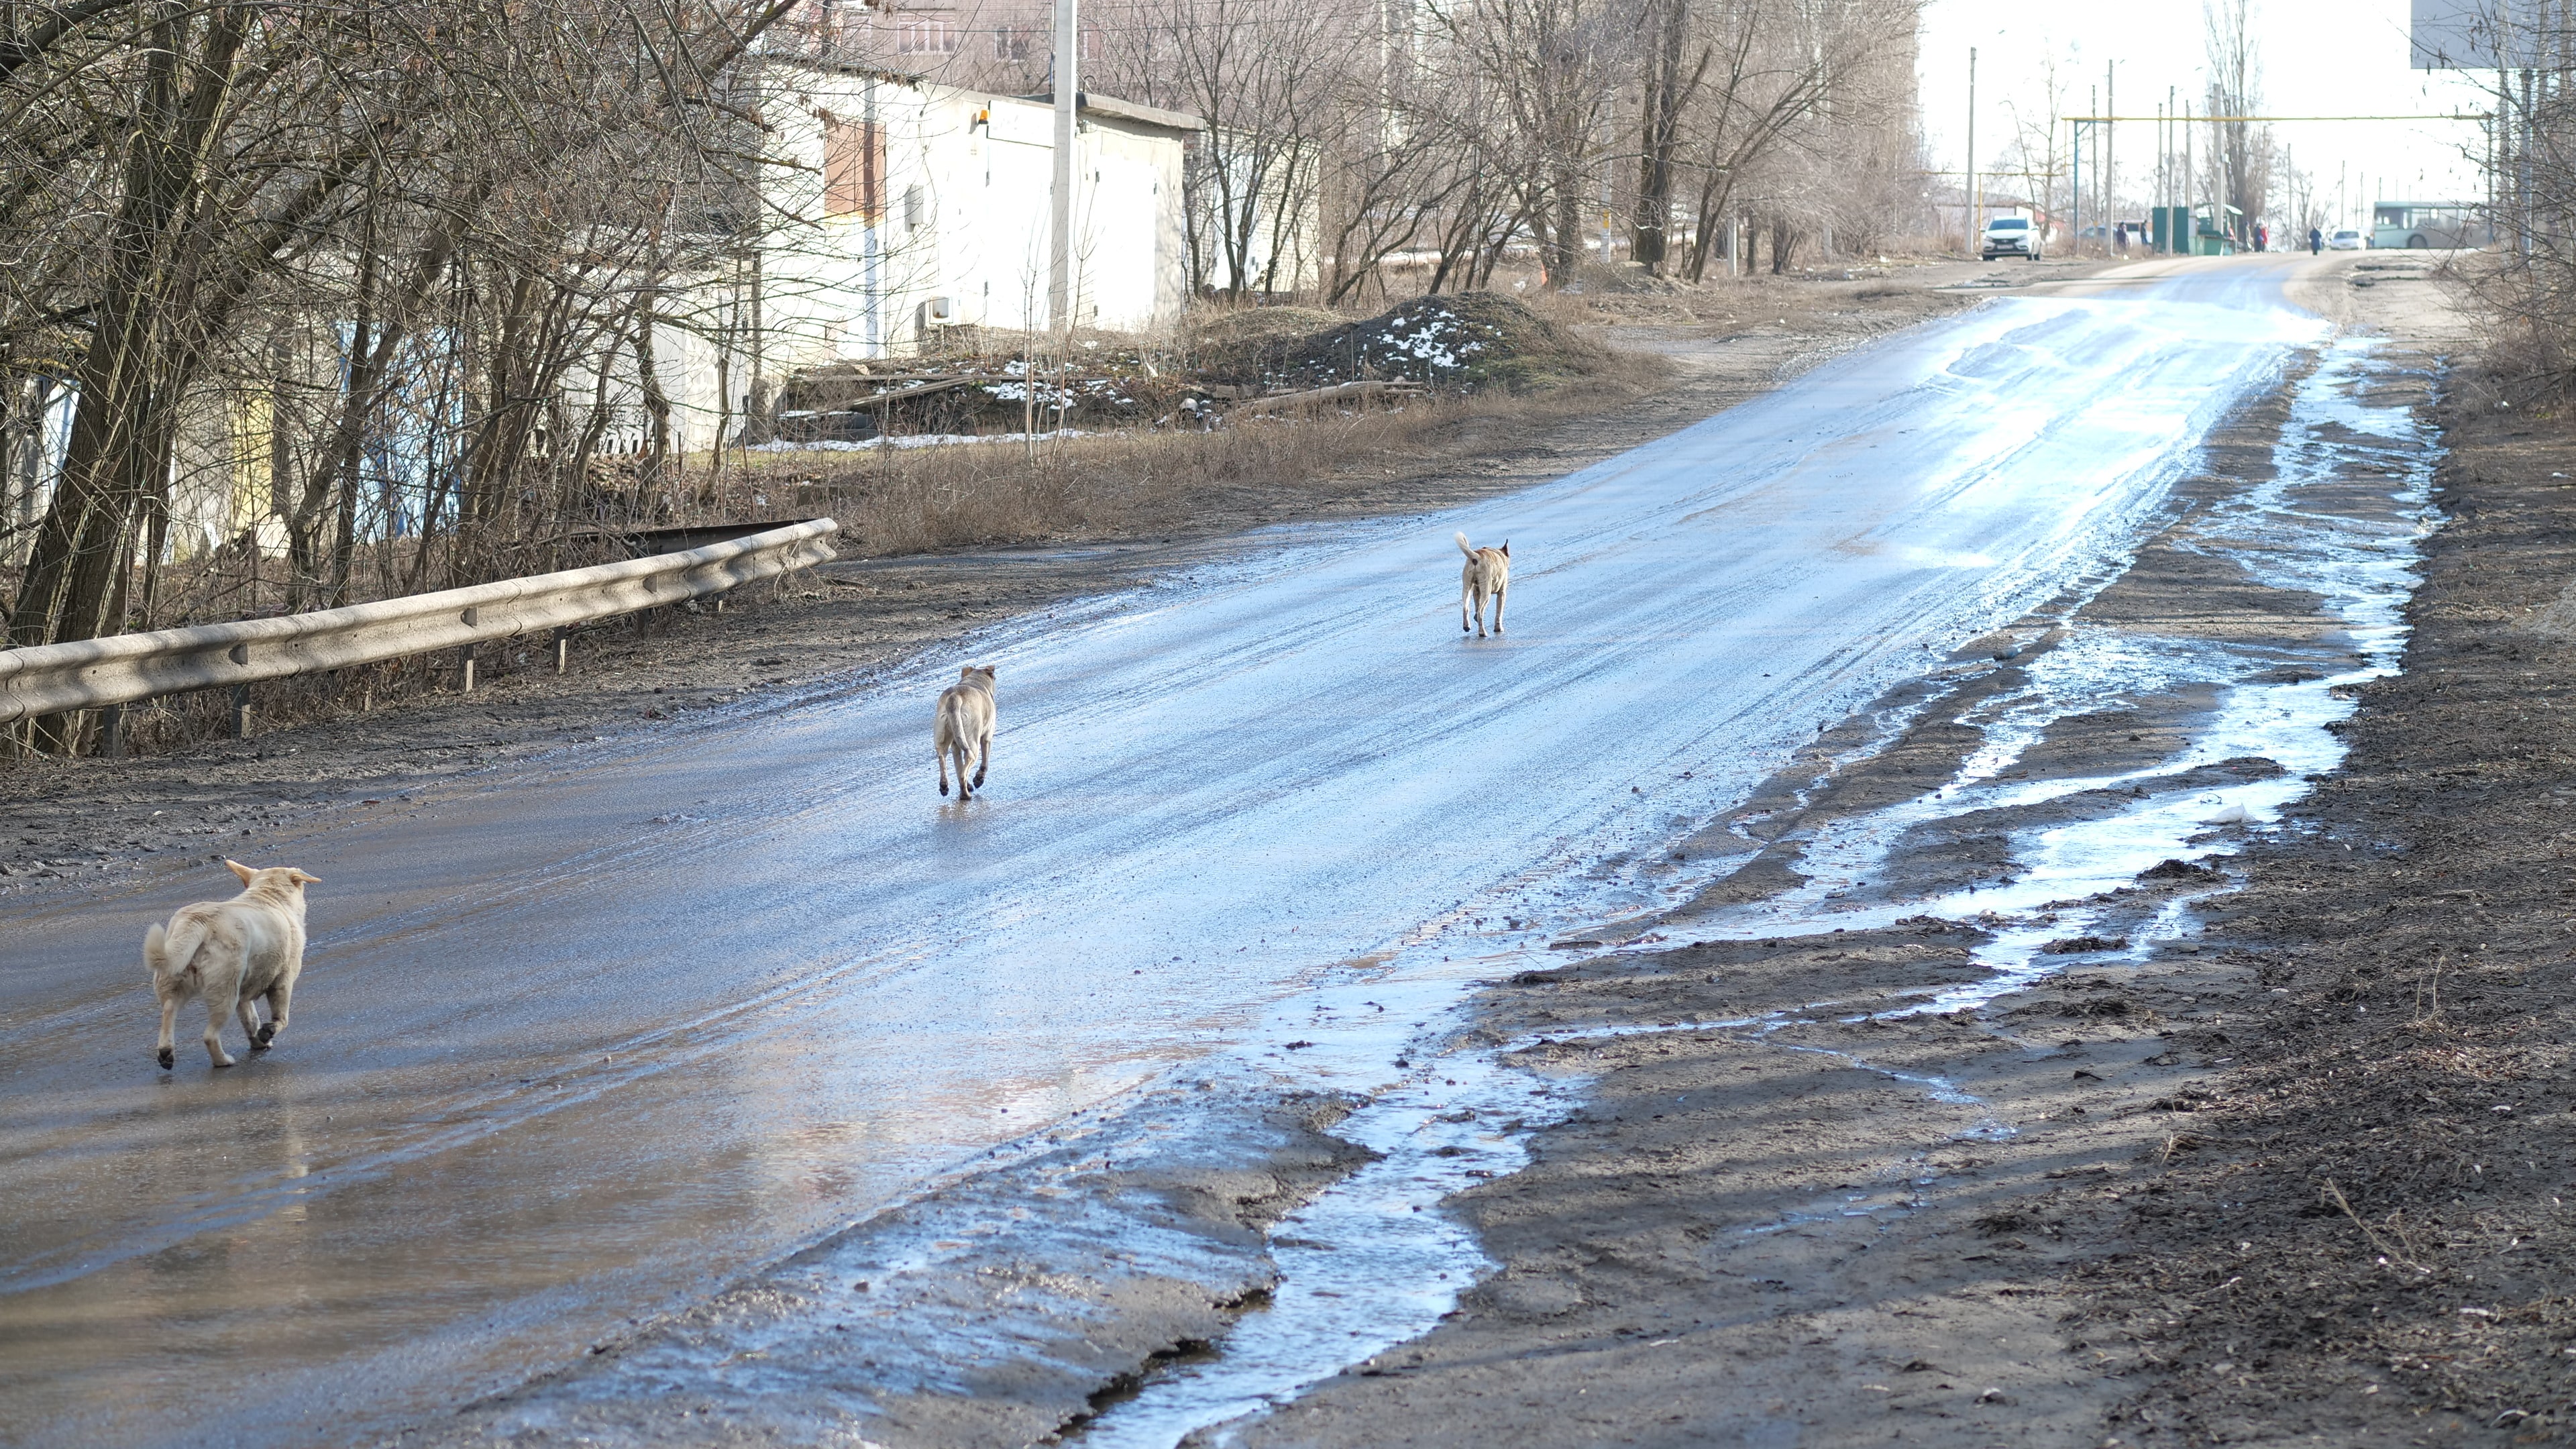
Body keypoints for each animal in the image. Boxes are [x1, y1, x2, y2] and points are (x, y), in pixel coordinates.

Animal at [146, 856, 319, 1072]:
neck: (268, 895)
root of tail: (197, 920)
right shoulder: (283, 982)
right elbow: (281, 1019)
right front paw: (269, 1032)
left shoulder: (244, 995)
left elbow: (251, 1020)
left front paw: (259, 1041)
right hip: (225, 993)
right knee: (210, 1036)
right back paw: (223, 1061)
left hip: (174, 981)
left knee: (169, 1011)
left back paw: (166, 1053)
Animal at [937, 659, 994, 794]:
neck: (976, 680)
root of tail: (955, 697)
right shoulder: (987, 736)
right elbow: (985, 761)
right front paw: (979, 778)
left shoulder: (955, 746)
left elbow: (958, 766)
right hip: (972, 741)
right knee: (968, 762)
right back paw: (965, 792)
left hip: (943, 734)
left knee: (942, 757)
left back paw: (945, 785)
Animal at [1452, 531, 1504, 631]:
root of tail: (1476, 557)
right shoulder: (1502, 593)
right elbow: (1499, 612)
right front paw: (1498, 627)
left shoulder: (1476, 590)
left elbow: (1476, 604)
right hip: (1486, 591)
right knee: (1481, 612)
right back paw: (1482, 632)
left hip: (1467, 587)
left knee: (1466, 607)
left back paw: (1467, 626)